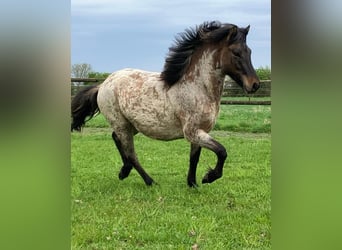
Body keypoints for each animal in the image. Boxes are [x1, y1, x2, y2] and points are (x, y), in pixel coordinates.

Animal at [72, 21, 260, 188]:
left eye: (250, 51)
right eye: (236, 52)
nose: (255, 85)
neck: (196, 87)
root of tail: (103, 84)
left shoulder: (200, 132)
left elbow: (194, 158)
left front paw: (192, 184)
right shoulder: (192, 132)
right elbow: (222, 151)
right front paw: (209, 177)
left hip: (132, 125)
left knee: (116, 139)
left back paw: (124, 171)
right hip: (121, 124)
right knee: (131, 153)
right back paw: (149, 181)